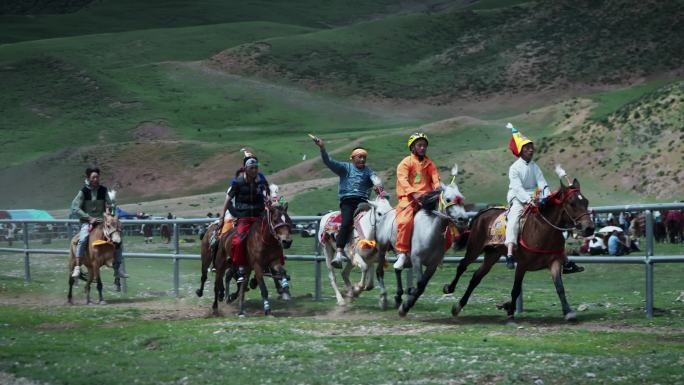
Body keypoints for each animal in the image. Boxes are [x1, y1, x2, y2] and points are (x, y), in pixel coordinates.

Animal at [444, 179, 592, 320]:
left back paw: (458, 305)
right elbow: (515, 289)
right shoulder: (521, 265)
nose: (589, 228)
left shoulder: (554, 262)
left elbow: (560, 287)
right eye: (572, 203)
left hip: (492, 255)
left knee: (476, 277)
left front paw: (568, 311)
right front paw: (510, 312)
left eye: (586, 201)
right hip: (474, 249)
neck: (543, 229)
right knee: (462, 266)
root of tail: (481, 214)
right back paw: (449, 289)